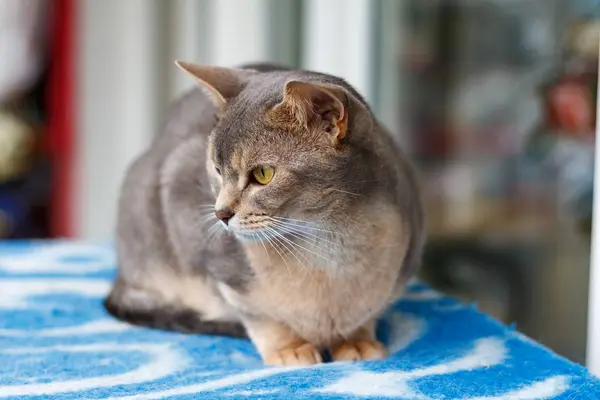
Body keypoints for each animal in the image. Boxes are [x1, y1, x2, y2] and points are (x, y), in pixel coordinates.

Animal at [104, 60, 426, 366]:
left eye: (263, 174)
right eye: (217, 169)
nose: (221, 213)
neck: (331, 248)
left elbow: (365, 314)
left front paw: (357, 340)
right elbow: (260, 317)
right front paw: (290, 348)